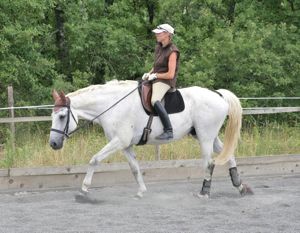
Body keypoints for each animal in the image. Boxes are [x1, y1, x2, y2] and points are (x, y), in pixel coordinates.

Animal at [49, 80, 253, 200]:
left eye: (61, 116)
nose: (53, 144)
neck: (112, 105)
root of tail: (218, 95)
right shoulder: (126, 145)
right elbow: (134, 168)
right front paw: (141, 191)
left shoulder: (119, 141)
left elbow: (94, 159)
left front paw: (83, 190)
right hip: (207, 135)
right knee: (228, 155)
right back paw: (240, 187)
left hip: (205, 137)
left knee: (209, 163)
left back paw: (204, 192)